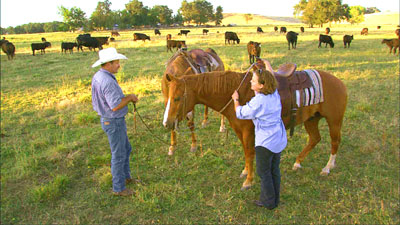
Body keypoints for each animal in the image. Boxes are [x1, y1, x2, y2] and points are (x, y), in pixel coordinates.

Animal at [162, 59, 346, 190]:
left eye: (177, 98)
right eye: (168, 96)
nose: (167, 123)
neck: (237, 92)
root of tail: (339, 82)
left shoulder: (248, 132)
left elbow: (250, 153)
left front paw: (249, 181)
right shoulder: (239, 130)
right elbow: (245, 151)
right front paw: (245, 172)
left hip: (334, 121)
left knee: (335, 141)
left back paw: (327, 167)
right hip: (311, 119)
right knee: (314, 139)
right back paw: (298, 162)